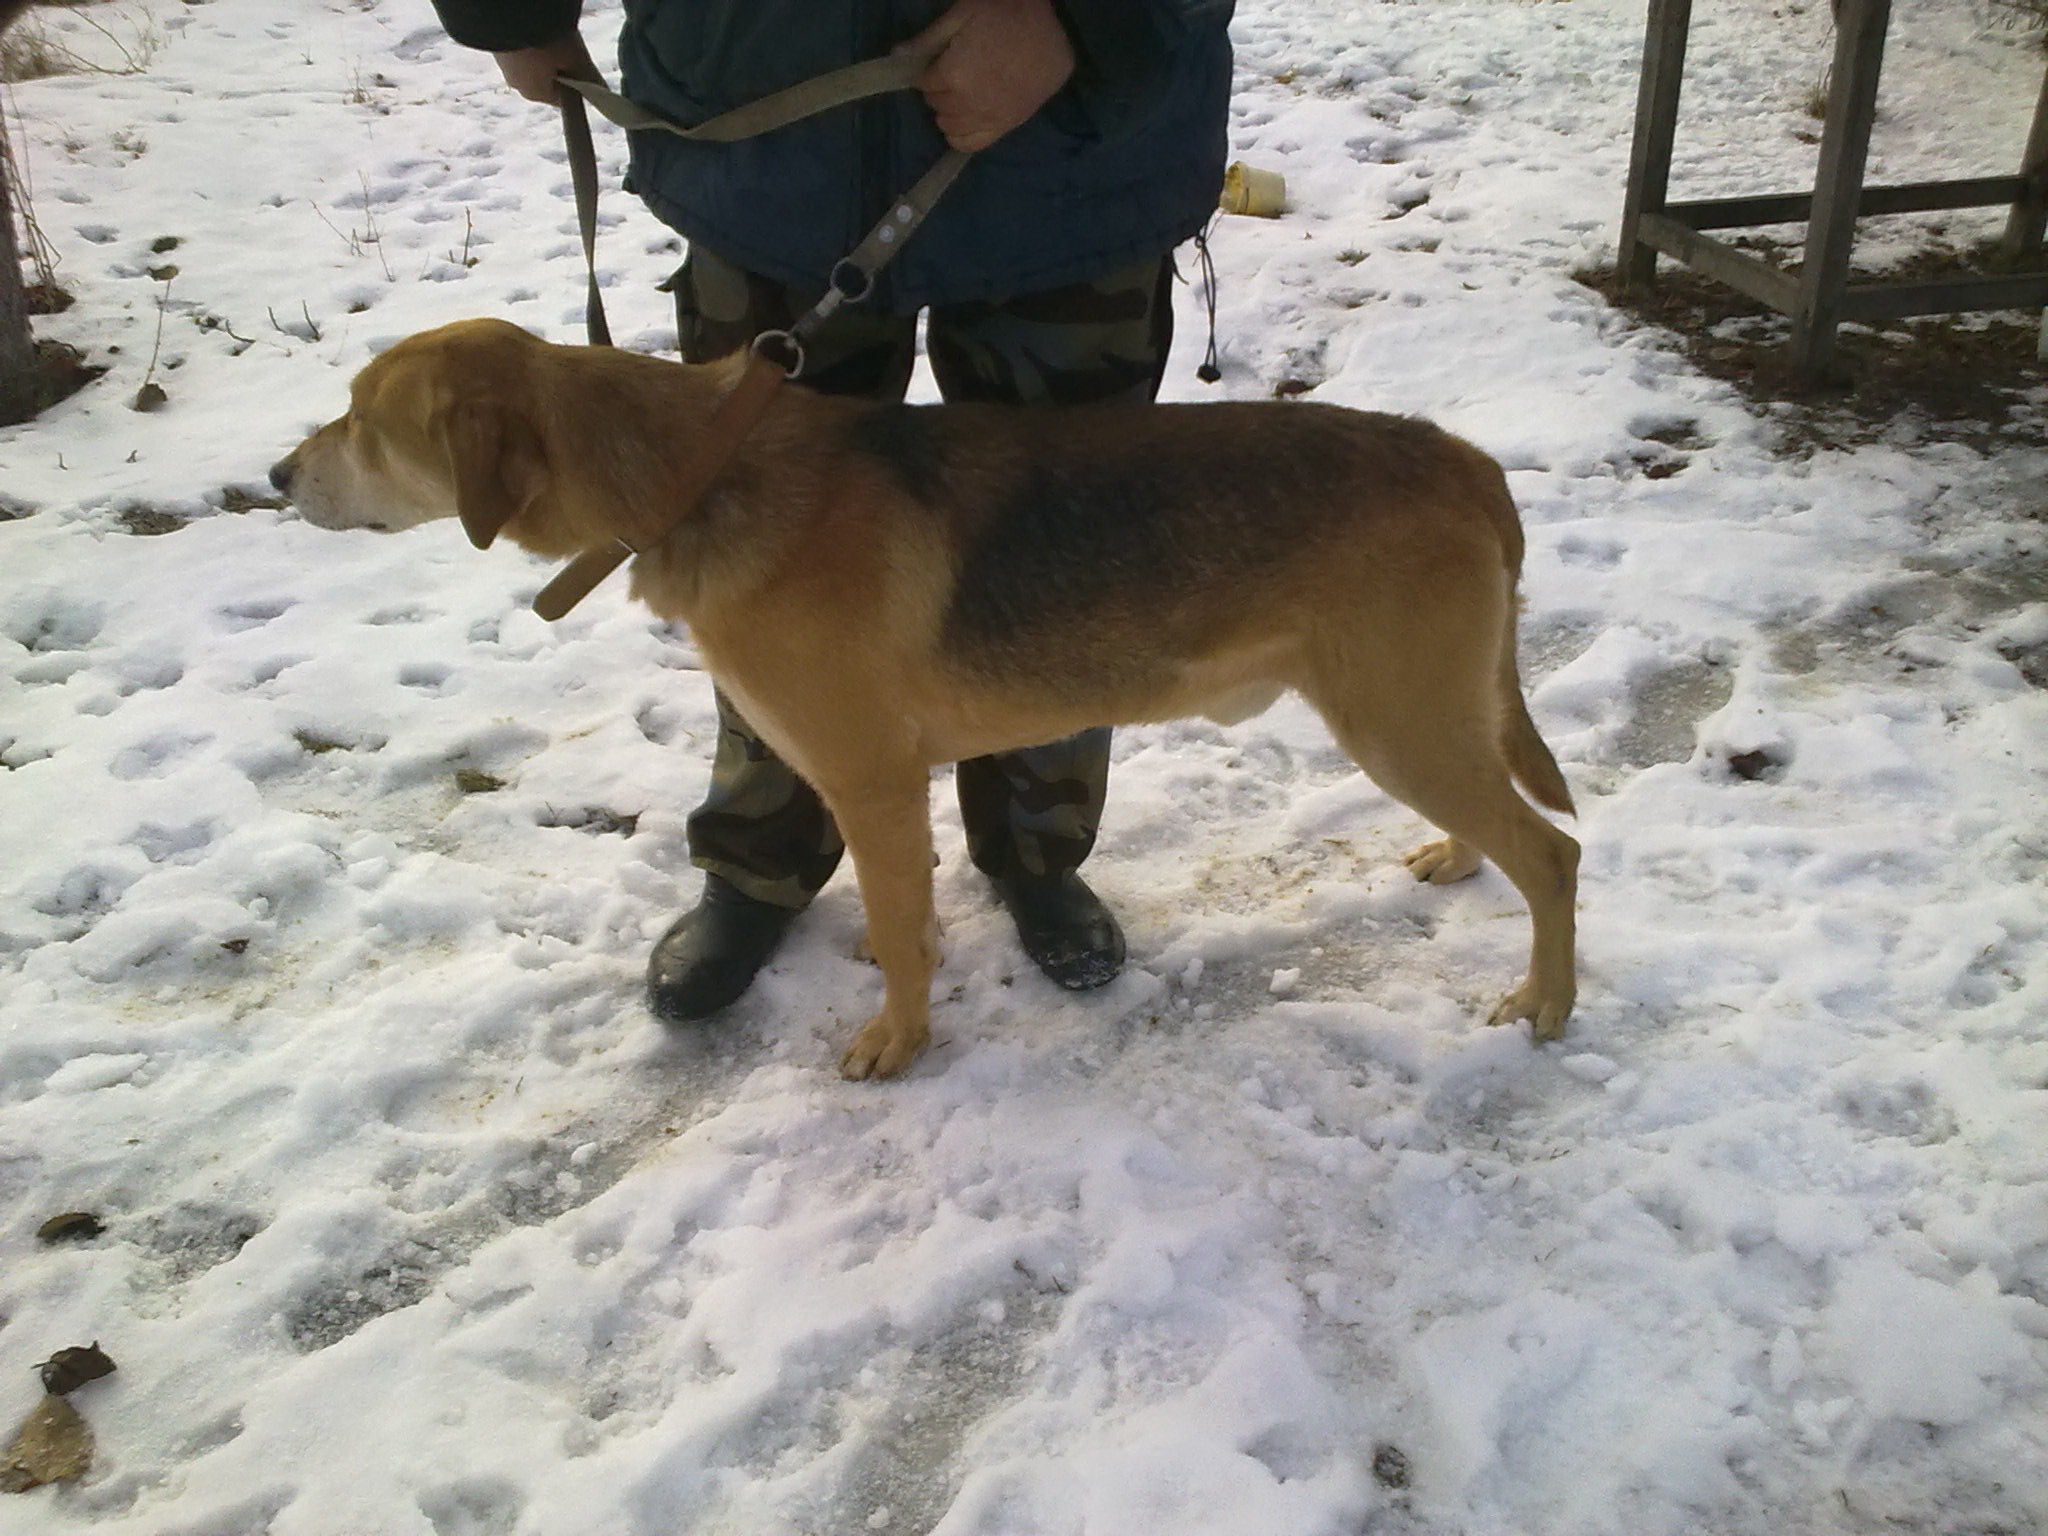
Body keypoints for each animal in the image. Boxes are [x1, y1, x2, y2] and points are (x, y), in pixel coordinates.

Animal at [272, 315, 1572, 1081]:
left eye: (363, 422)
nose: (277, 473)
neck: (693, 471)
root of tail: (1463, 458)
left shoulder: (872, 781)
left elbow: (903, 935)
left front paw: (899, 1042)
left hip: (1399, 723)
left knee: (1550, 854)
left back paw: (1546, 1002)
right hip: (1425, 724)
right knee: (1500, 828)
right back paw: (1459, 862)